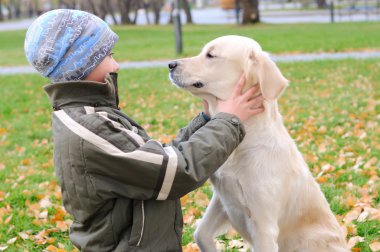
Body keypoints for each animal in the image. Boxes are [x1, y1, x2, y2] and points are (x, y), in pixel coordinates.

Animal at [168, 36, 348, 252]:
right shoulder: (223, 199)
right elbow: (200, 233)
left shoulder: (263, 224)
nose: (170, 64)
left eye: (211, 55)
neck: (242, 143)